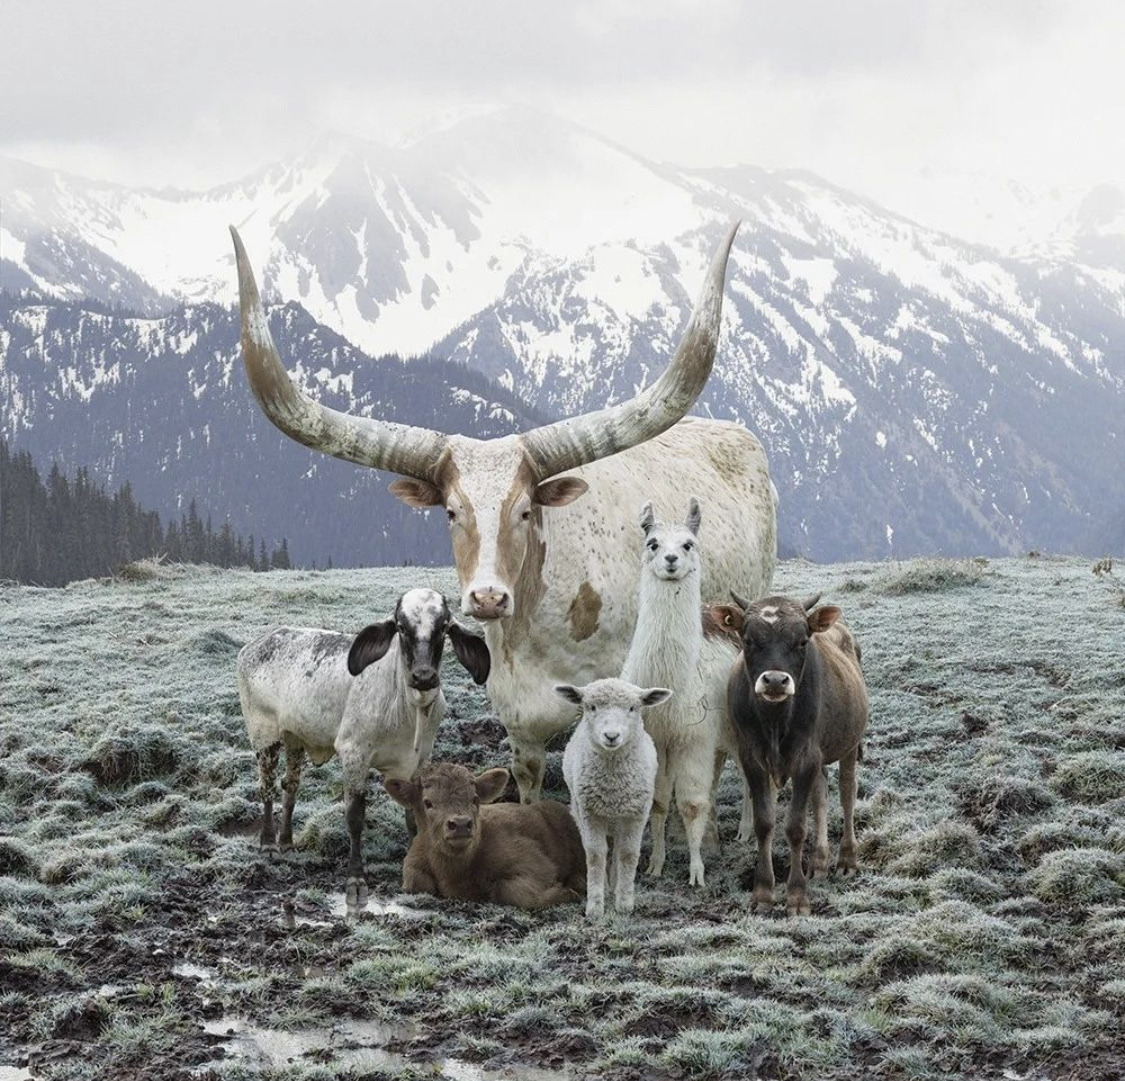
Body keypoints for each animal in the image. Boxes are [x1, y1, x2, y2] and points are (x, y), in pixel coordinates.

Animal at [230, 222, 777, 802]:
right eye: (450, 511)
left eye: (525, 511)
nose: (488, 597)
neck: (539, 626)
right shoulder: (519, 721)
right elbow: (529, 782)